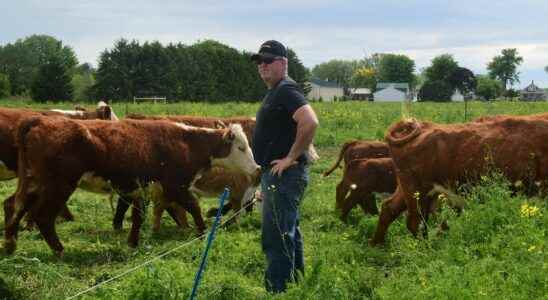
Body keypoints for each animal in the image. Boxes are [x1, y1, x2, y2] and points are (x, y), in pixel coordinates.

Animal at [4, 116, 260, 255]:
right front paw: (201, 233)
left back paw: (10, 245)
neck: (187, 142)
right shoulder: (175, 186)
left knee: (14, 205)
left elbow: (138, 216)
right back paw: (59, 250)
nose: (257, 169)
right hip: (58, 186)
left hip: (34, 182)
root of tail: (38, 120)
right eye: (241, 147)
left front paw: (133, 242)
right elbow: (194, 207)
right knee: (43, 216)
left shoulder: (141, 190)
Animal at [372, 116, 548, 245]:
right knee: (415, 222)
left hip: (410, 190)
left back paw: (377, 245)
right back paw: (427, 248)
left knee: (389, 208)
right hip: (417, 192)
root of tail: (425, 126)